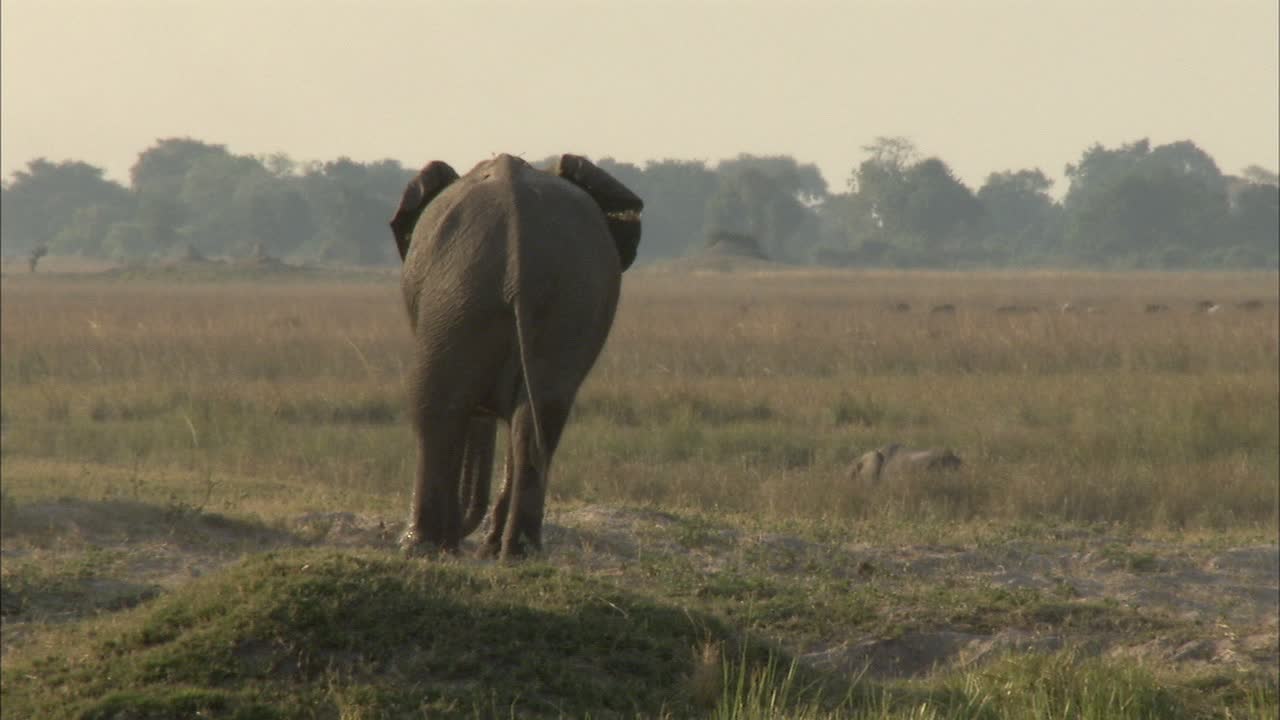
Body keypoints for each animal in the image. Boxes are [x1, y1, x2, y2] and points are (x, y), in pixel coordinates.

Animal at [389, 152, 645, 556]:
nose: (464, 536)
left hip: (456, 297)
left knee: (436, 406)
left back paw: (423, 547)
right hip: (559, 301)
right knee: (541, 415)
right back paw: (515, 552)